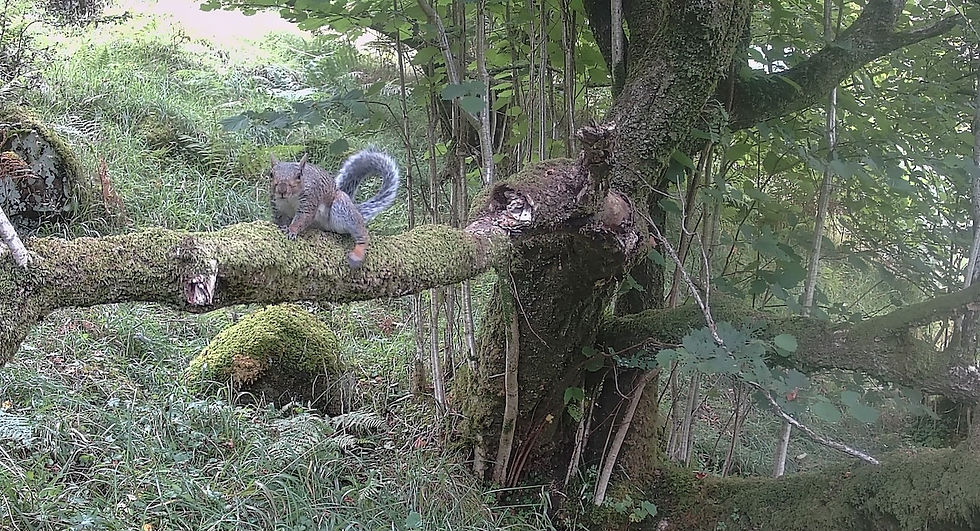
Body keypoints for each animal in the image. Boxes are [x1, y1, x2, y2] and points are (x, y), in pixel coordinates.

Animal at [270, 149, 400, 269]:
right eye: (271, 174)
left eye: (299, 176)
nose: (282, 190)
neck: (289, 199)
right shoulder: (277, 207)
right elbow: (279, 219)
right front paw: (281, 226)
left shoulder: (310, 200)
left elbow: (302, 218)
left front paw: (291, 230)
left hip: (342, 207)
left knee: (362, 233)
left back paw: (357, 254)